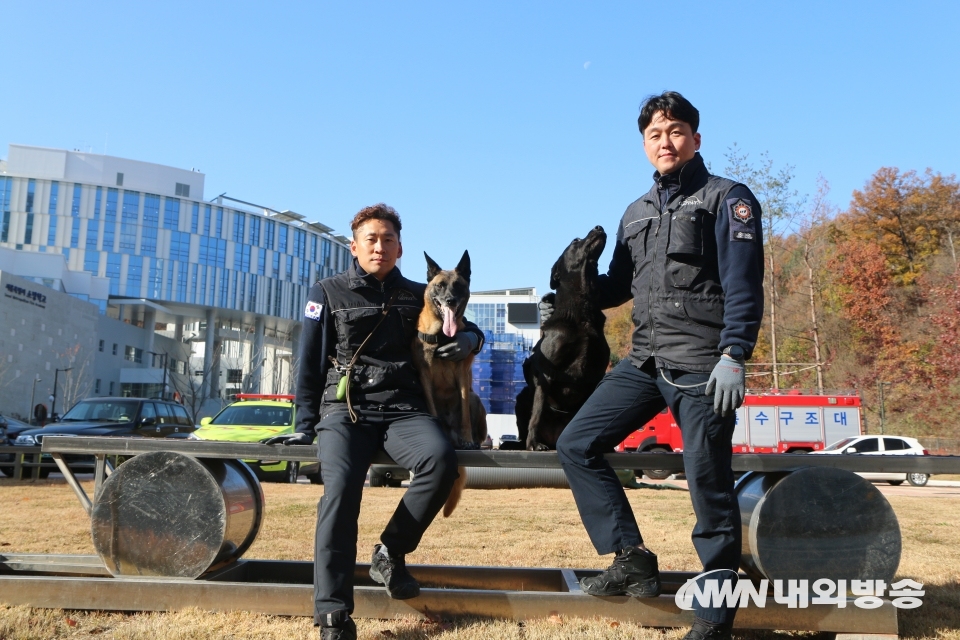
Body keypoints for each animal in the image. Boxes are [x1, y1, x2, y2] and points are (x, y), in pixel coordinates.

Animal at [410, 248, 488, 516]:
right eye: (440, 286)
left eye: (458, 286)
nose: (451, 300)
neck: (443, 336)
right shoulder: (424, 375)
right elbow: (433, 408)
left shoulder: (462, 375)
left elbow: (463, 411)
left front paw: (468, 439)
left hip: (476, 399)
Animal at [516, 225, 608, 450]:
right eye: (575, 240)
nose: (599, 227)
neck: (581, 312)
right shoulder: (545, 372)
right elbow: (537, 412)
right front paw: (534, 443)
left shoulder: (597, 373)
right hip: (522, 397)